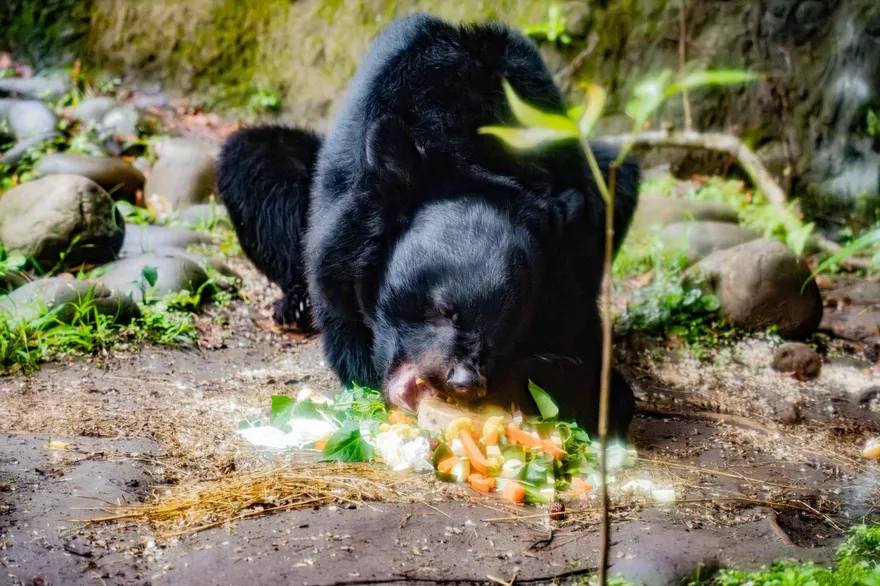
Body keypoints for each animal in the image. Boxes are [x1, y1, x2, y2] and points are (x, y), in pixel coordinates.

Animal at [217, 12, 640, 439]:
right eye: (444, 309)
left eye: (506, 327)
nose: (465, 381)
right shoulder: (342, 228)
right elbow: (343, 321)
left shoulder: (569, 249)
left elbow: (585, 359)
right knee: (254, 156)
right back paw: (295, 305)